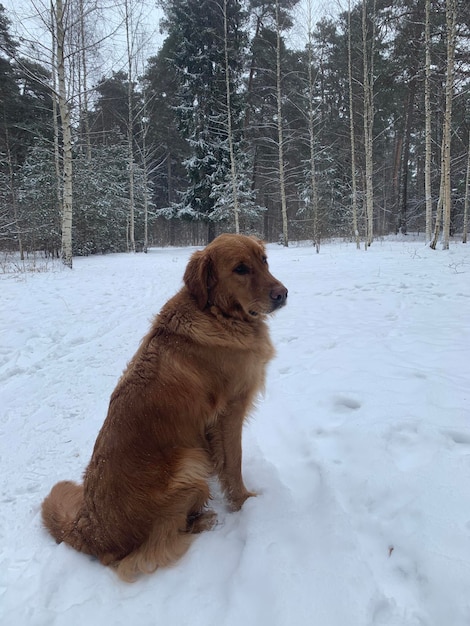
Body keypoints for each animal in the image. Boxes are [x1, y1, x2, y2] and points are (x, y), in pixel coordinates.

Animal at [42, 234, 286, 580]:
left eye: (264, 260)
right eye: (240, 268)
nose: (283, 294)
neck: (217, 313)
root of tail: (90, 530)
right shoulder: (229, 411)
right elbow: (233, 463)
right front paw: (244, 503)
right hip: (188, 463)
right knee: (156, 545)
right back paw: (203, 521)